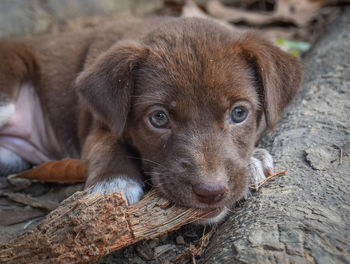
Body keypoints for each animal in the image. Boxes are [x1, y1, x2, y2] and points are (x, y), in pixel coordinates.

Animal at [0, 17, 300, 223]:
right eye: (159, 118)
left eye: (239, 113)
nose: (211, 192)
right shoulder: (99, 125)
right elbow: (108, 146)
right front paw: (113, 186)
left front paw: (253, 160)